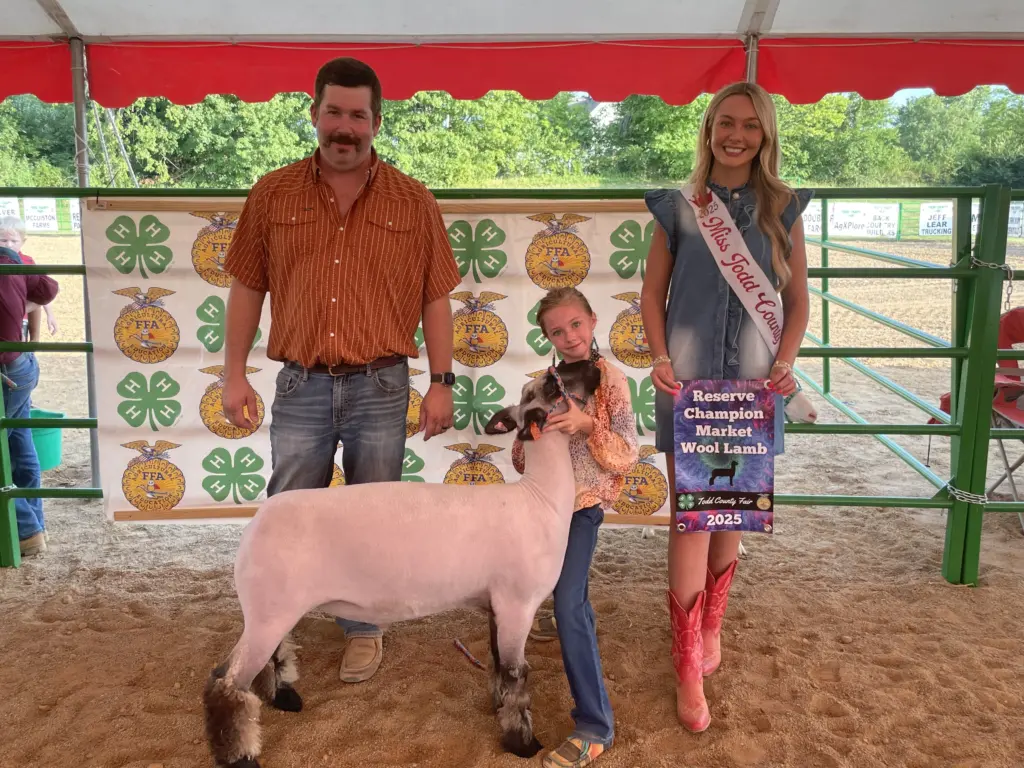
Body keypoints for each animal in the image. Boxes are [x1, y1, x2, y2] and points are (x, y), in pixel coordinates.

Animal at [202, 359, 603, 768]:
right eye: (554, 385)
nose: (593, 363)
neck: (539, 497)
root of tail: (256, 522)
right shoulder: (517, 604)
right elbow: (515, 674)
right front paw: (522, 743)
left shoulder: (497, 605)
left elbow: (496, 664)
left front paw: (498, 710)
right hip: (268, 611)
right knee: (225, 682)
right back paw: (240, 756)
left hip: (275, 608)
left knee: (275, 655)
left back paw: (285, 698)